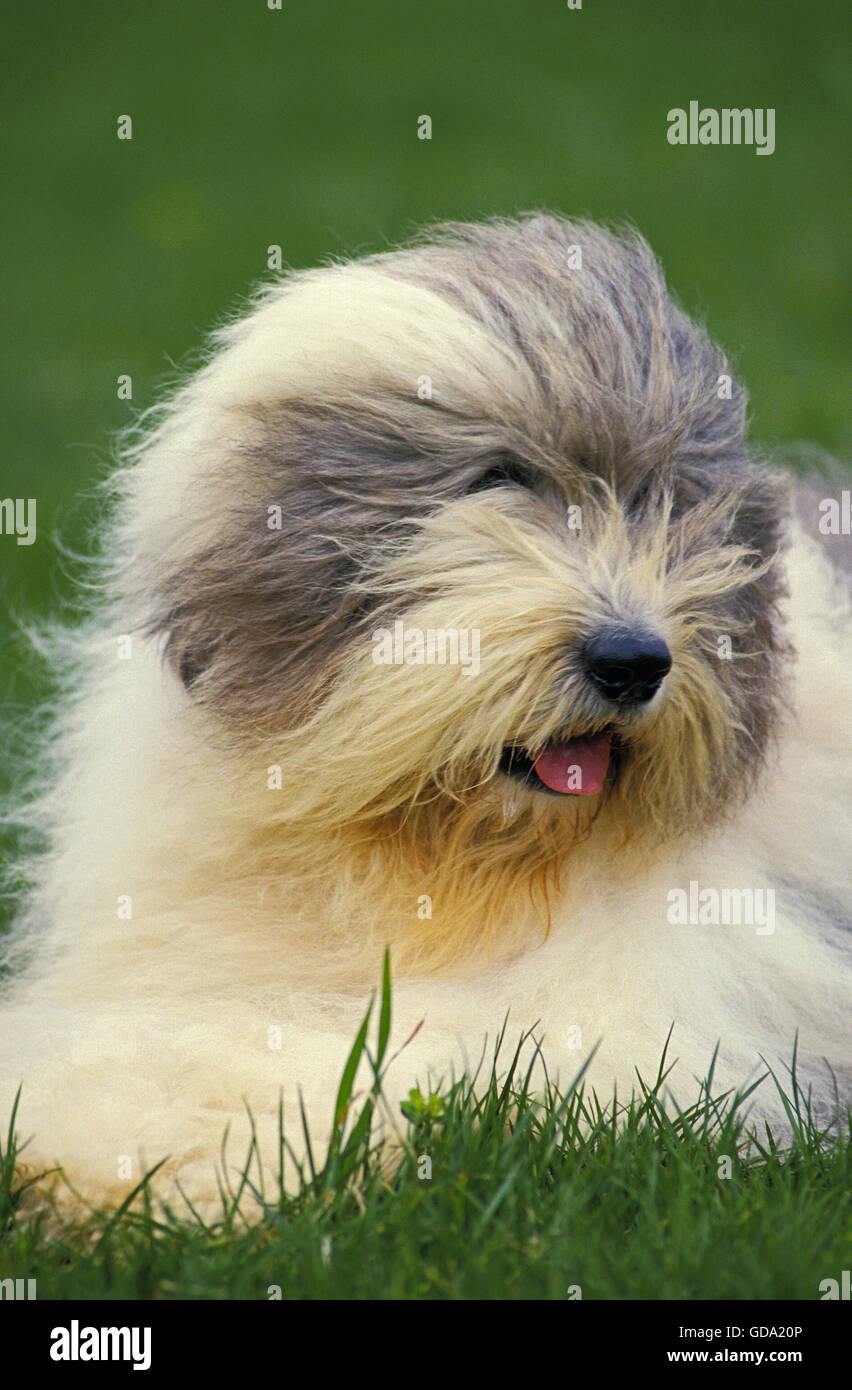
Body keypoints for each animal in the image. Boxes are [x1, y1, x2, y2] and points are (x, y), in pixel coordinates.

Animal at [1, 214, 850, 1217]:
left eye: (670, 501)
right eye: (498, 482)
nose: (634, 662)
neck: (435, 865)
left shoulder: (629, 1024)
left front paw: (159, 1156)